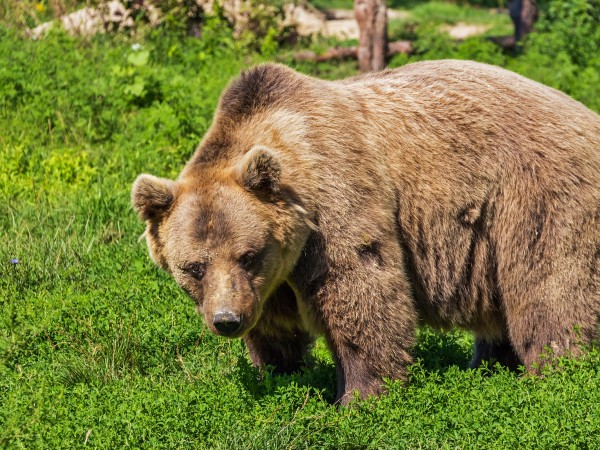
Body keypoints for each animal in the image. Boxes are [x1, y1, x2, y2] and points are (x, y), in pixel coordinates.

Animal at [132, 59, 600, 404]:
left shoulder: (336, 202)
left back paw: (555, 374)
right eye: (194, 267)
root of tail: (588, 115)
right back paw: (488, 366)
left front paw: (358, 397)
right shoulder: (274, 276)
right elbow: (276, 327)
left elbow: (362, 292)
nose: (227, 320)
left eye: (248, 254)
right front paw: (279, 374)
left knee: (550, 290)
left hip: (537, 197)